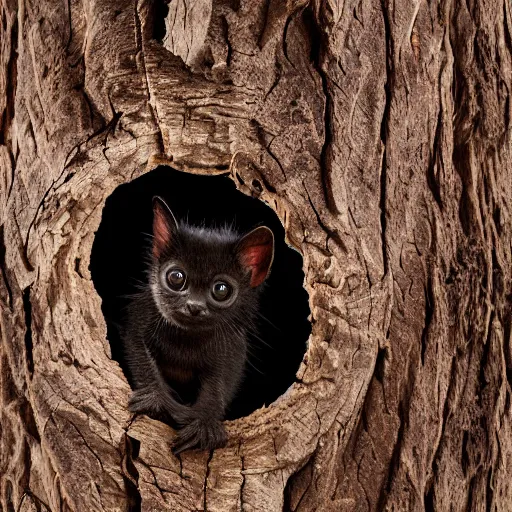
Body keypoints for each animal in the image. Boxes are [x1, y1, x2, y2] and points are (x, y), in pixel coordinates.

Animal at [121, 196, 274, 452]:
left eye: (221, 289)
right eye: (176, 277)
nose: (194, 306)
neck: (187, 340)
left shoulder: (232, 351)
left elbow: (217, 386)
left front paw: (204, 425)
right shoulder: (137, 320)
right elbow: (142, 359)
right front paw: (155, 400)